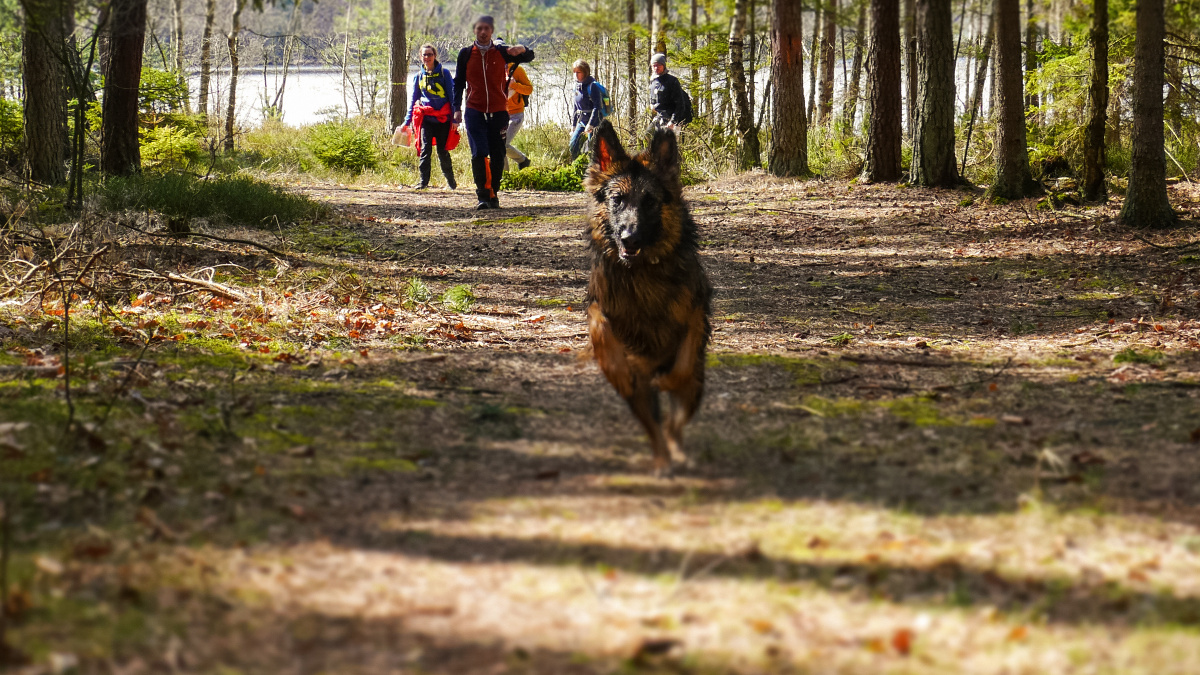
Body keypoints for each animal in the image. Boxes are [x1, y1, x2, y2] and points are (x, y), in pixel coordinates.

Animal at [583, 119, 710, 473]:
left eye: (650, 201)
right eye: (617, 199)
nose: (630, 237)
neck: (641, 272)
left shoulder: (696, 312)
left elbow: (683, 361)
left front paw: (668, 379)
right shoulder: (599, 302)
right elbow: (599, 325)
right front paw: (617, 370)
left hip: (695, 390)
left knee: (674, 425)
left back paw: (677, 454)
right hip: (640, 400)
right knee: (655, 428)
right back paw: (662, 461)